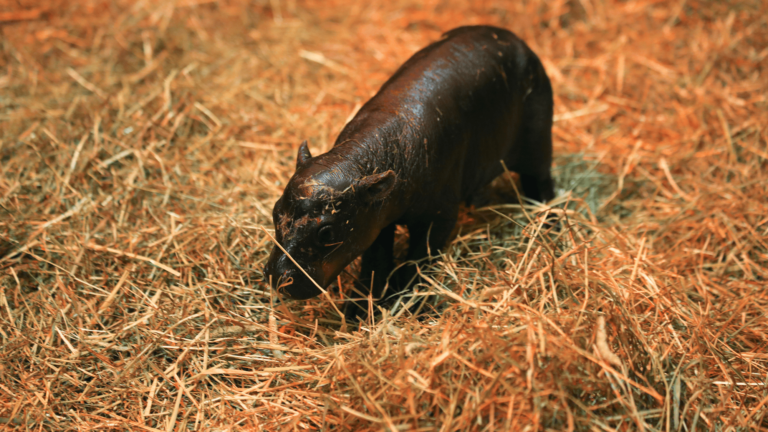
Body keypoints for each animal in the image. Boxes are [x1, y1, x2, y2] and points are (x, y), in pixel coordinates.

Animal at [262, 26, 552, 318]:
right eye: (275, 211)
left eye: (327, 232)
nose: (278, 277)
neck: (356, 160)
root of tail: (515, 38)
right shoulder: (375, 219)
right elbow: (375, 262)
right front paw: (358, 310)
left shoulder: (439, 217)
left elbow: (418, 259)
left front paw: (405, 303)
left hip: (538, 144)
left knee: (541, 181)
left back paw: (548, 221)